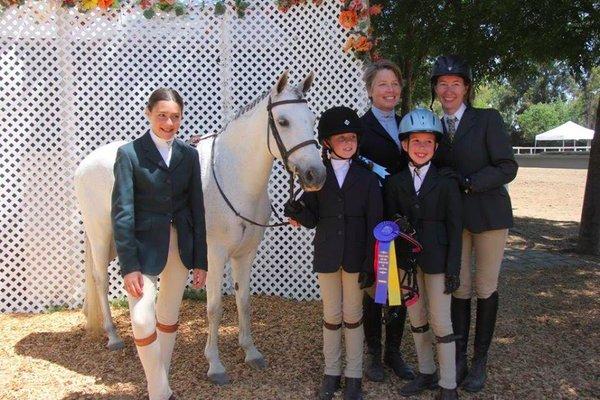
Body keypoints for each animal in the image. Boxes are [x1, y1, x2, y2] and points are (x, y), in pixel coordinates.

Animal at [76, 72, 328, 384]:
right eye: (283, 121)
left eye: (312, 119)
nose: (316, 175)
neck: (233, 178)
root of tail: (86, 163)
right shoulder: (214, 256)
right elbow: (215, 308)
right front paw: (215, 365)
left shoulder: (245, 255)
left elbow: (244, 302)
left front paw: (251, 352)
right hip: (101, 236)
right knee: (100, 279)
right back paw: (113, 337)